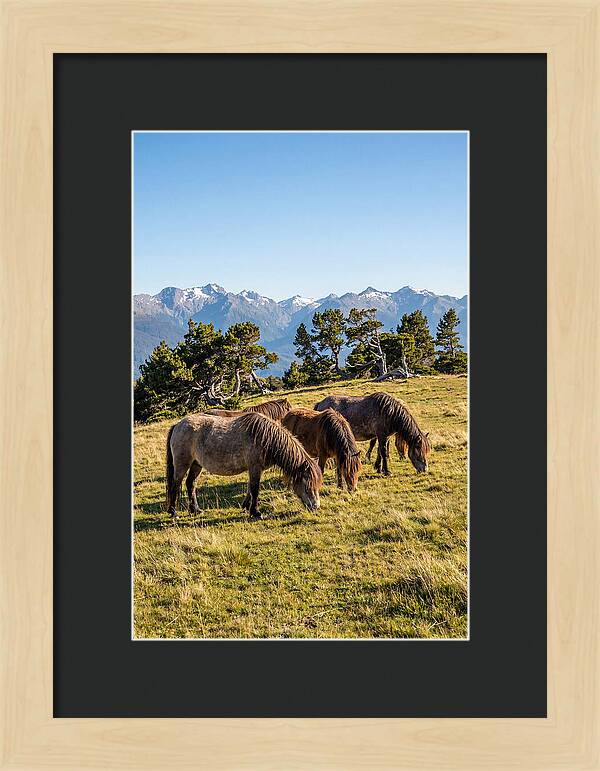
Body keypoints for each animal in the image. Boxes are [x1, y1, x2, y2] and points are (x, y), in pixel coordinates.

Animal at [166, 411, 322, 519]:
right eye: (307, 484)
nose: (315, 506)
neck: (265, 438)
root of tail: (178, 425)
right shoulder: (255, 467)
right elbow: (255, 489)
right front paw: (256, 512)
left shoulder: (254, 469)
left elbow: (249, 488)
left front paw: (247, 506)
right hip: (182, 464)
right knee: (175, 484)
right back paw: (173, 512)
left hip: (196, 464)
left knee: (191, 484)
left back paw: (195, 510)